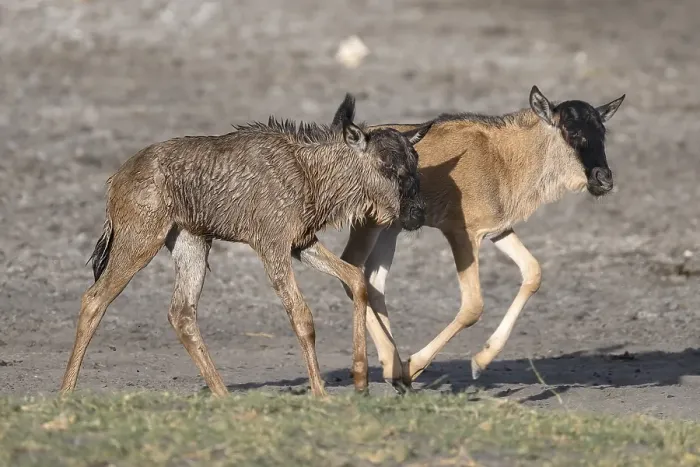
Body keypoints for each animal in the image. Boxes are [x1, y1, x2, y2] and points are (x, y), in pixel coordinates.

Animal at [59, 94, 432, 397]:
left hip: (191, 242)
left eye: (414, 161)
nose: (416, 215)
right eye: (386, 165)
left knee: (181, 312)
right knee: (94, 299)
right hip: (140, 238)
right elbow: (302, 317)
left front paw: (360, 379)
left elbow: (356, 279)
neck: (310, 175)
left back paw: (224, 396)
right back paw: (65, 394)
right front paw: (321, 394)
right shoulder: (272, 245)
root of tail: (115, 180)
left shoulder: (302, 243)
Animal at [340, 86, 626, 392]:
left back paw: (391, 366)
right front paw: (414, 366)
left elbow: (533, 272)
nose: (604, 179)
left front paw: (480, 360)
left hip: (390, 229)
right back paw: (394, 368)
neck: (501, 157)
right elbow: (473, 306)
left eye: (602, 131)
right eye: (570, 132)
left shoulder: (498, 230)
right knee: (352, 270)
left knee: (373, 283)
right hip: (369, 225)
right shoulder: (461, 233)